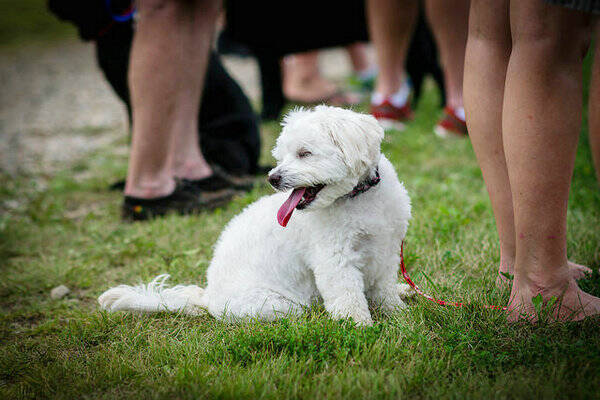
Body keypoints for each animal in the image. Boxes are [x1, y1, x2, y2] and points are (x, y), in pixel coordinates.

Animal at [99, 105, 418, 324]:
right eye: (281, 156)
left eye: (304, 153)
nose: (273, 178)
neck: (357, 197)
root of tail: (208, 298)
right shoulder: (335, 260)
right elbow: (348, 296)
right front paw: (359, 326)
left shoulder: (386, 250)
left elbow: (384, 288)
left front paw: (396, 312)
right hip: (280, 305)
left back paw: (405, 291)